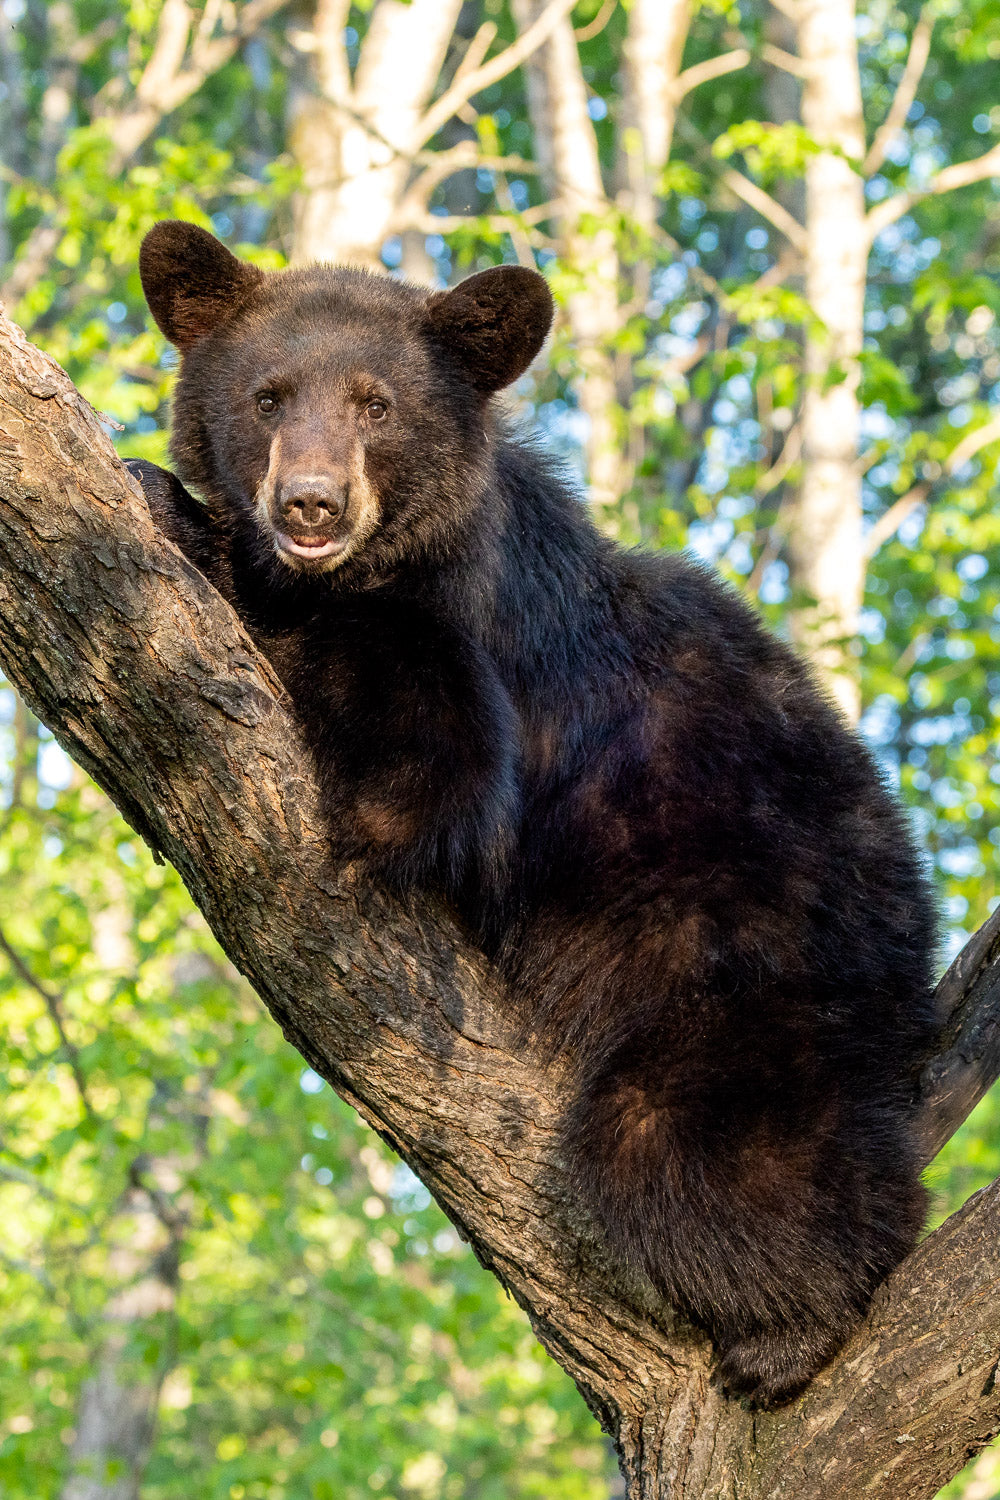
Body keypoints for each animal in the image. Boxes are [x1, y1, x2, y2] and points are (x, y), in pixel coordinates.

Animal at [127, 219, 938, 1407]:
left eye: (378, 405)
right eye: (267, 397)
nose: (310, 505)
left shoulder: (483, 651)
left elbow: (430, 766)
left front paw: (196, 527)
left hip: (753, 971)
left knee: (695, 1153)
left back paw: (794, 1332)